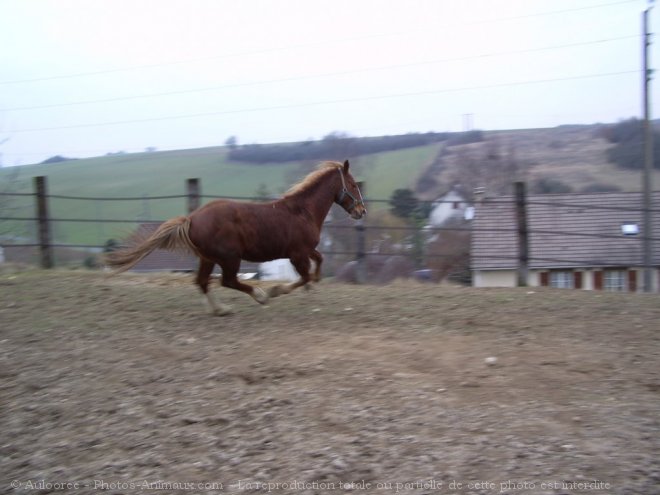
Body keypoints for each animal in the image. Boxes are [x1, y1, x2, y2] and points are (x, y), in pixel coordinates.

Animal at [107, 161, 366, 316]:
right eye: (353, 185)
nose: (361, 211)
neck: (302, 211)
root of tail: (192, 218)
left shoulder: (305, 250)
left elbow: (318, 261)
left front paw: (315, 283)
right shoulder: (297, 254)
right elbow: (303, 277)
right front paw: (276, 291)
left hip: (208, 258)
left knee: (202, 281)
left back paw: (220, 309)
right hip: (230, 258)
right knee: (227, 281)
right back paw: (259, 296)